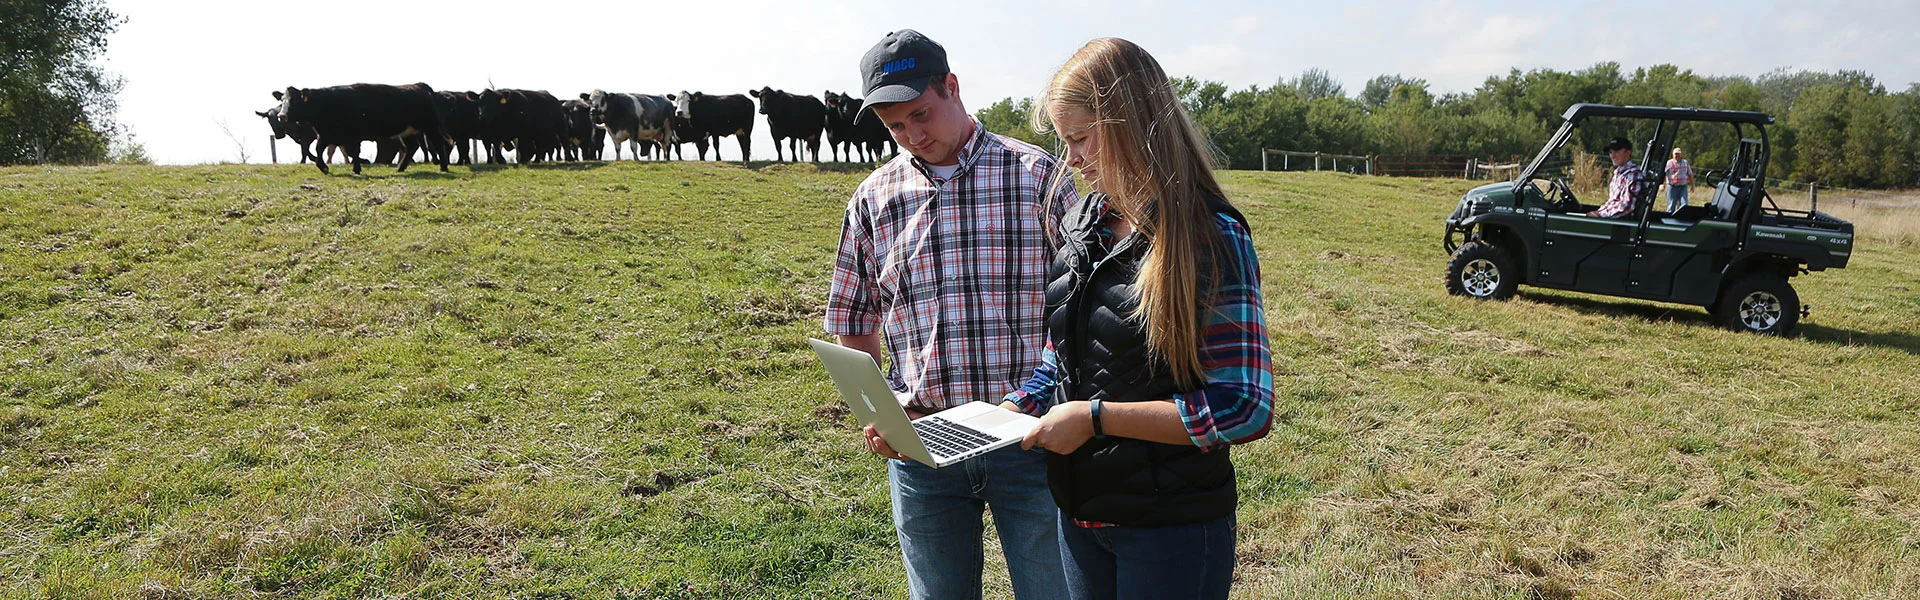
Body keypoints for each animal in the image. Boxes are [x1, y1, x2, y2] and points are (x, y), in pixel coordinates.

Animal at [276, 81, 451, 173]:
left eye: (294, 101)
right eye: (282, 99)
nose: (281, 116)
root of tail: (420, 86)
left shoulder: (352, 135)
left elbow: (354, 151)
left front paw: (356, 168)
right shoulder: (326, 134)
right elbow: (319, 149)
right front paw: (324, 167)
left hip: (430, 127)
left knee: (438, 144)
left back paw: (443, 167)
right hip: (408, 131)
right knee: (411, 147)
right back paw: (400, 168)